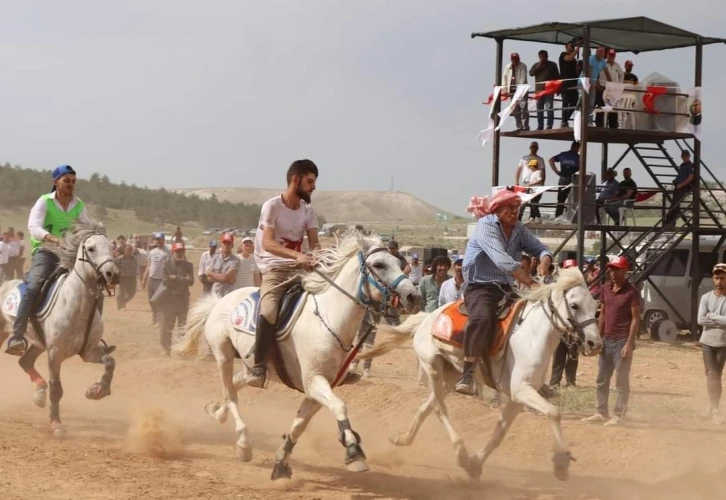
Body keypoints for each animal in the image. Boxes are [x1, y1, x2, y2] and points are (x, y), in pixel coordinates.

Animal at [0, 220, 121, 438]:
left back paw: (40, 394)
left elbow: (110, 362)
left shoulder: (89, 352)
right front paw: (56, 425)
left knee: (25, 361)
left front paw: (96, 391)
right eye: (91, 248)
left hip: (38, 343)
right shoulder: (55, 354)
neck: (77, 305)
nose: (112, 274)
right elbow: (57, 389)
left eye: (112, 247)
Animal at [175, 234, 420, 484]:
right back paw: (243, 444)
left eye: (400, 263)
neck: (328, 320)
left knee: (233, 385)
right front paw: (353, 451)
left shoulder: (319, 388)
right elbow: (340, 407)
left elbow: (299, 426)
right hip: (223, 354)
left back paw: (216, 411)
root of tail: (220, 301)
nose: (413, 297)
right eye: (379, 265)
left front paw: (281, 464)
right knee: (231, 394)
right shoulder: (314, 381)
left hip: (250, 366)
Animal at [356, 268, 604, 482]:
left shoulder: (517, 398)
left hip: (449, 375)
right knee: (439, 409)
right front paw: (561, 463)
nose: (595, 344)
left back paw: (404, 439)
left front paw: (475, 464)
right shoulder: (521, 390)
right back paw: (460, 452)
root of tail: (427, 318)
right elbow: (554, 413)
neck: (531, 336)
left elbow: (499, 433)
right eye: (574, 305)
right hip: (433, 368)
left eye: (595, 306)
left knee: (426, 406)